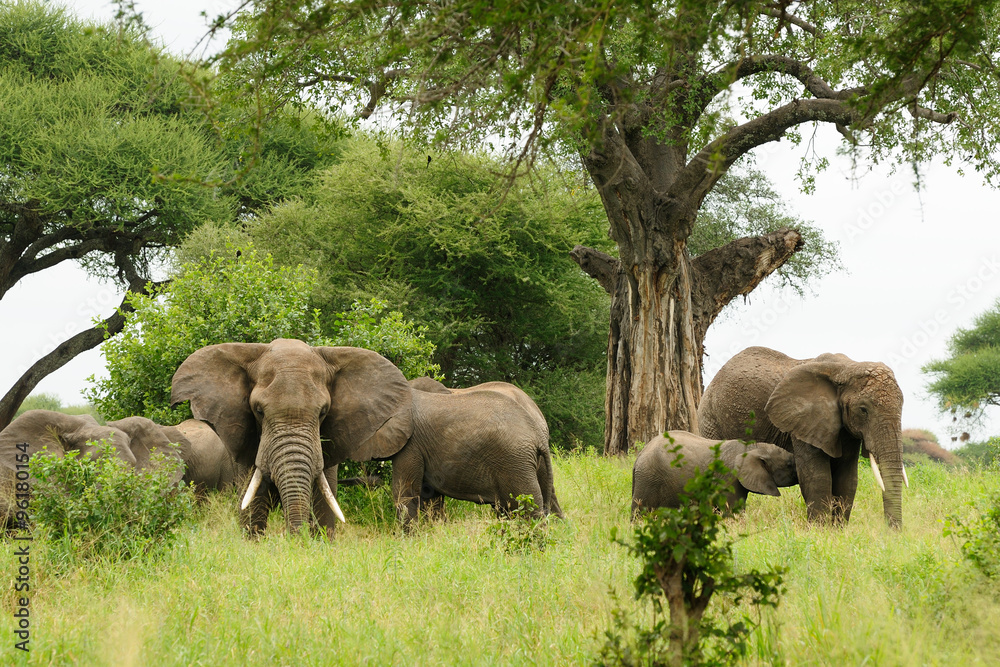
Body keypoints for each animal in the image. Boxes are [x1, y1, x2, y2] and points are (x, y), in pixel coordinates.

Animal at [632, 430, 796, 520]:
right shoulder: (728, 479)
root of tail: (639, 456)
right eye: (789, 465)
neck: (753, 447)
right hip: (648, 480)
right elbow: (732, 511)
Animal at [696, 348, 908, 528]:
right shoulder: (803, 421)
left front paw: (838, 531)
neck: (846, 368)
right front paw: (820, 532)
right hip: (710, 421)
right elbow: (817, 477)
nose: (893, 532)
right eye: (863, 410)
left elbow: (847, 478)